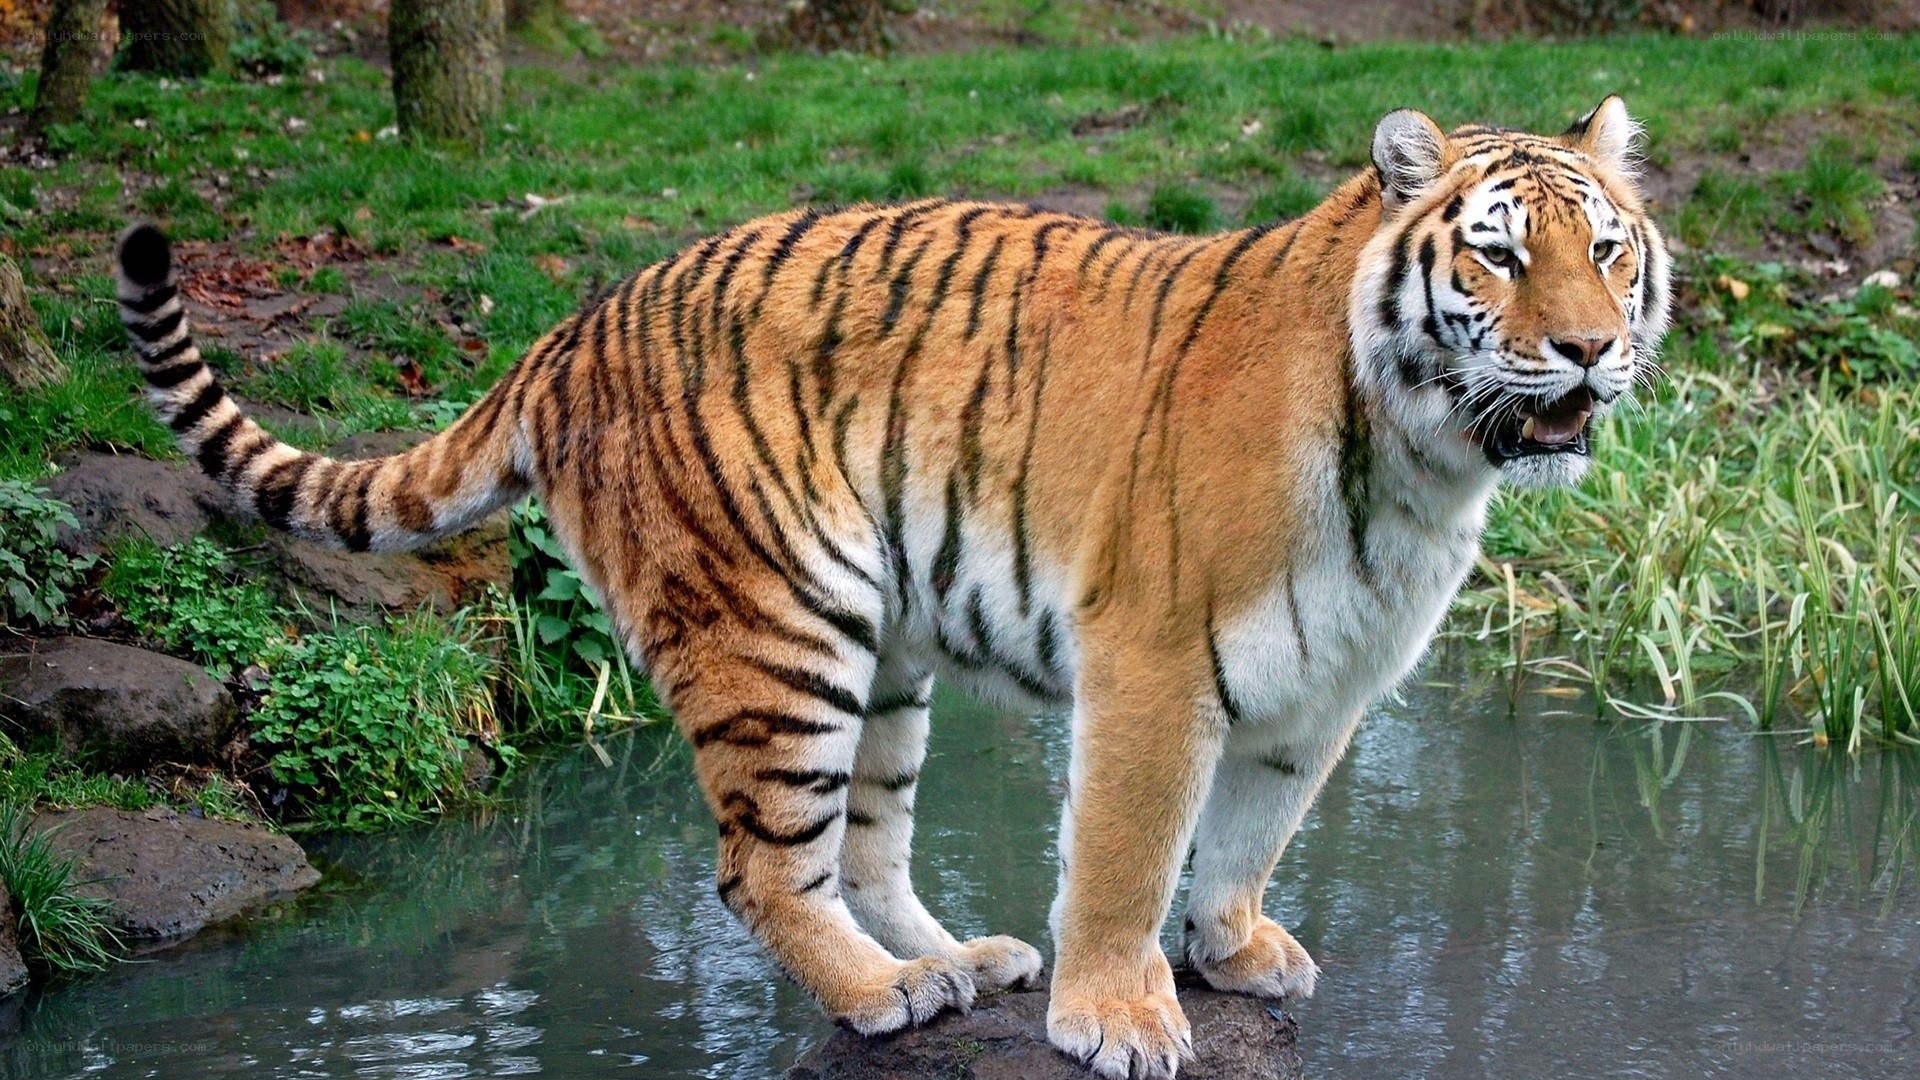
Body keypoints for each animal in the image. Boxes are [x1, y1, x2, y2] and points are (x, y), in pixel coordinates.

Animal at [114, 95, 1668, 1078]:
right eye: (1497, 254)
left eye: (1607, 249)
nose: (1590, 350)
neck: (1425, 462)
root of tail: (574, 322)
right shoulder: (1156, 661)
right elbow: (1130, 849)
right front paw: (1121, 1017)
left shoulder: (1327, 682)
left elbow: (1249, 836)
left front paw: (1231, 953)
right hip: (775, 627)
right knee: (759, 867)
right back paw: (885, 995)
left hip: (886, 649)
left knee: (862, 845)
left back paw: (963, 962)